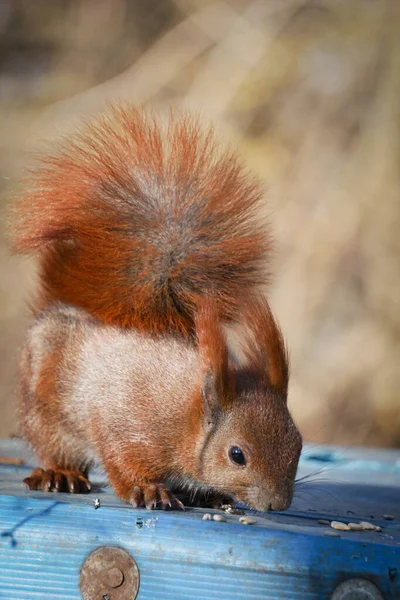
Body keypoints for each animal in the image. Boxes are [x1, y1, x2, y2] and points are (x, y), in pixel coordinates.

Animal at [10, 104, 302, 510]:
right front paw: (148, 489)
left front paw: (209, 495)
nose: (279, 504)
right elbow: (121, 462)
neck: (188, 416)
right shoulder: (127, 428)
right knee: (53, 446)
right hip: (45, 412)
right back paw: (61, 473)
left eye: (299, 444)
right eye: (236, 455)